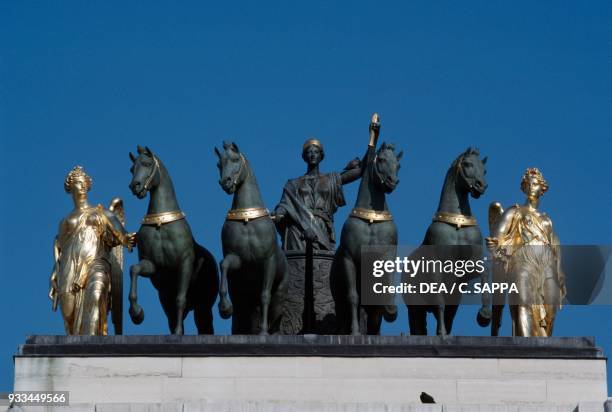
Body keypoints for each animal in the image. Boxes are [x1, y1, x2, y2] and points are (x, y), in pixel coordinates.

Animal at [126, 146, 218, 334]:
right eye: (132, 169)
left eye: (147, 164)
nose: (134, 186)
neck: (161, 224)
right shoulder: (152, 265)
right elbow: (134, 270)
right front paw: (137, 313)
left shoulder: (185, 264)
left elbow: (180, 299)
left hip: (203, 307)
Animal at [216, 142, 288, 334]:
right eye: (219, 164)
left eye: (235, 159)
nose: (225, 183)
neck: (247, 220)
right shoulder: (237, 259)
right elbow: (224, 265)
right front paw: (224, 308)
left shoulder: (268, 262)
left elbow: (265, 295)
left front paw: (262, 331)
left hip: (279, 296)